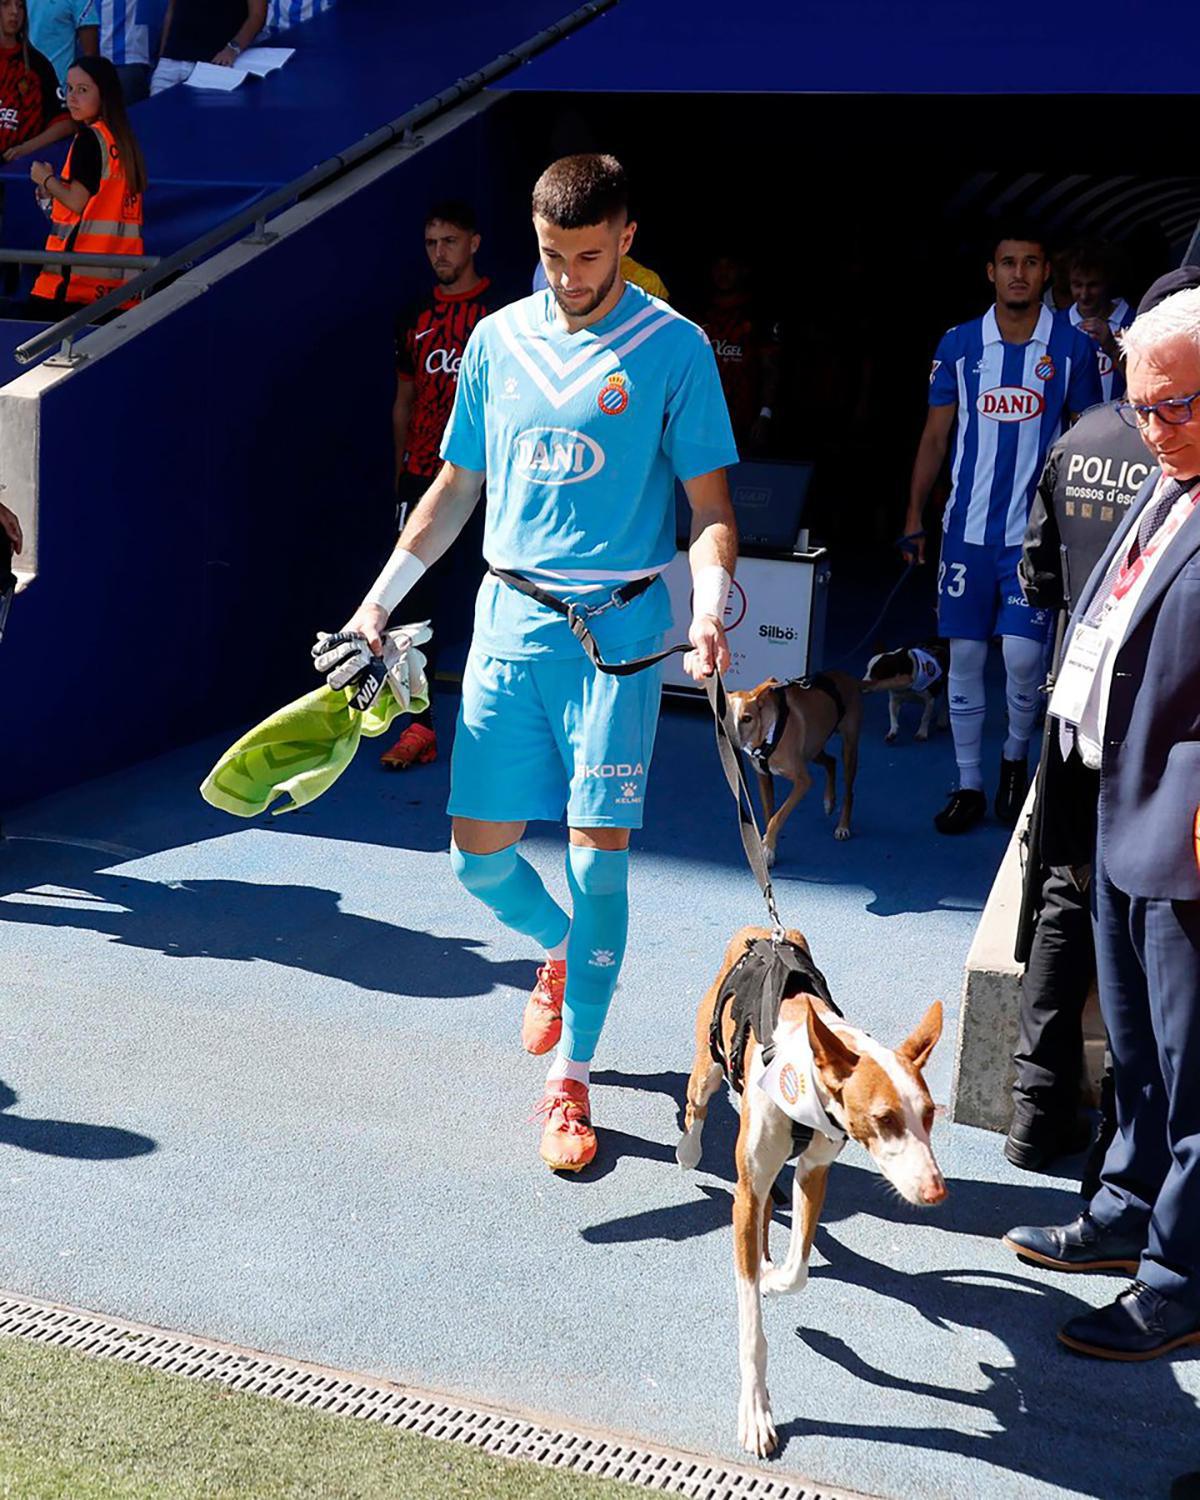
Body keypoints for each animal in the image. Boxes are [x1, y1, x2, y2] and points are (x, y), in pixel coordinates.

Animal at [675, 918, 948, 1458]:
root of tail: (764, 928)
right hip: (709, 1066)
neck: (805, 1071)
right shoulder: (746, 1188)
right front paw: (756, 1413)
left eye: (929, 1115)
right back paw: (688, 1150)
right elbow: (752, 1326)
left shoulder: (814, 1172)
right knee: (698, 1103)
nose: (934, 1192)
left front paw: (774, 1277)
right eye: (884, 1119)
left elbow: (797, 1267)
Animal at [726, 675, 858, 864]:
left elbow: (777, 816)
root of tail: (848, 677)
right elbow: (769, 814)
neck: (767, 735)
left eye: (747, 718)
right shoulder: (763, 777)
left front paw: (768, 848)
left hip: (849, 748)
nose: (733, 741)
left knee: (849, 792)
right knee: (831, 762)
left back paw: (843, 826)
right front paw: (767, 846)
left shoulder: (803, 782)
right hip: (813, 750)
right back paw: (829, 801)